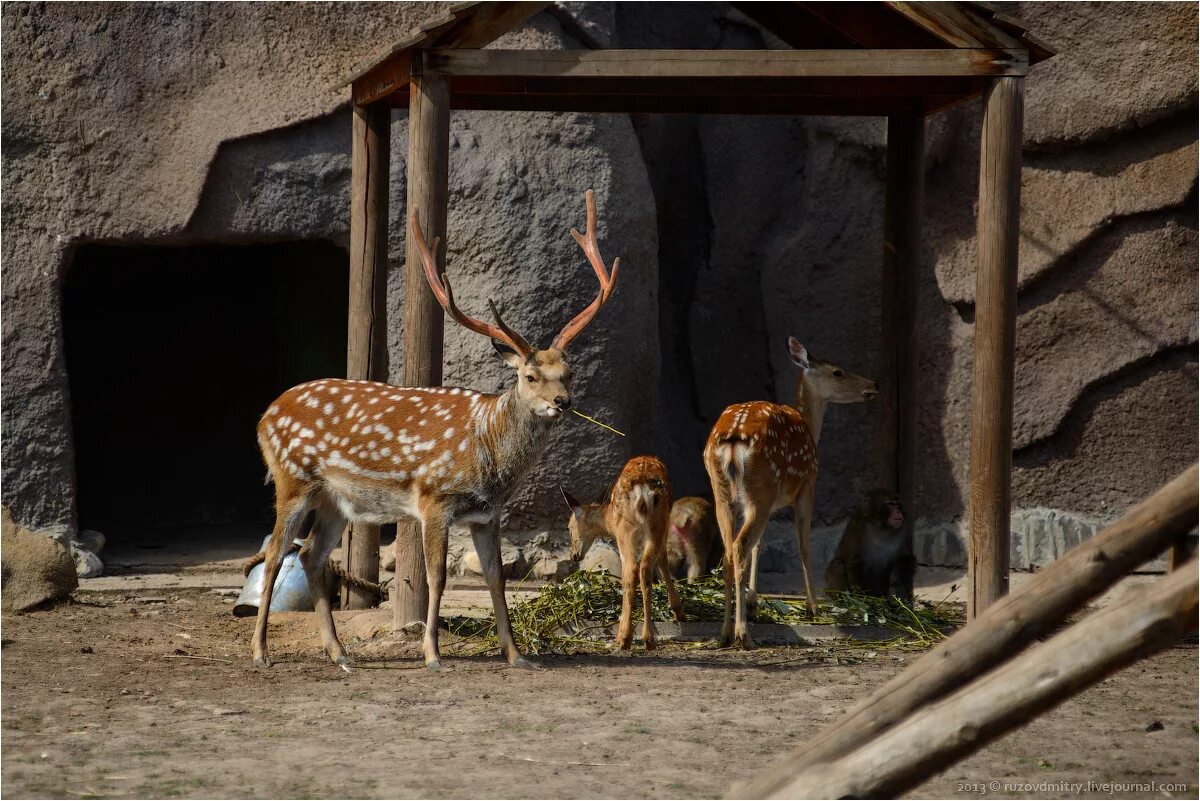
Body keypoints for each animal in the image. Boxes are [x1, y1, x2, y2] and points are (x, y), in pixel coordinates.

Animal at [258, 190, 624, 671]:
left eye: (569, 372)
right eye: (529, 377)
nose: (562, 402)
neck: (488, 452)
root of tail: (264, 416)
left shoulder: (488, 514)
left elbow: (496, 579)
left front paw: (517, 655)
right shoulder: (434, 498)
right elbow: (436, 577)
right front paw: (432, 654)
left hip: (337, 499)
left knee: (310, 554)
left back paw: (339, 652)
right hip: (292, 478)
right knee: (275, 553)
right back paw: (261, 651)